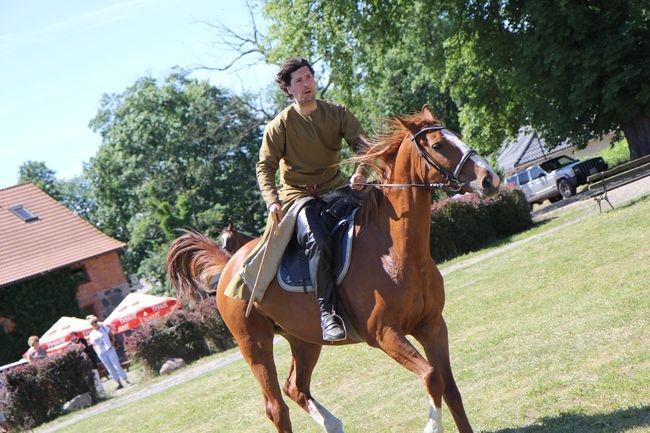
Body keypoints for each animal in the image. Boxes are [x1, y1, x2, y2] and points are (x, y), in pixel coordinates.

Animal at [166, 105, 496, 432]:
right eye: (439, 145)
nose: (489, 179)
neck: (397, 253)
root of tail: (230, 266)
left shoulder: (432, 326)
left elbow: (450, 388)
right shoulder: (386, 334)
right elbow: (432, 377)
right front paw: (431, 426)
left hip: (304, 339)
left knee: (295, 387)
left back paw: (333, 423)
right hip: (255, 345)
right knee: (276, 407)